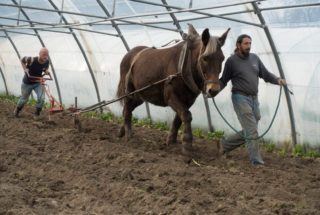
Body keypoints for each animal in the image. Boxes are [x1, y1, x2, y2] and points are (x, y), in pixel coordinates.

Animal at [117, 23, 230, 155]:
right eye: (205, 58)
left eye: (222, 58)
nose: (214, 90)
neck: (183, 66)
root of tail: (129, 54)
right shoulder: (171, 96)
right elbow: (186, 115)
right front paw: (187, 144)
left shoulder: (188, 100)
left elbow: (178, 119)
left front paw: (171, 141)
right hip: (129, 92)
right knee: (127, 110)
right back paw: (129, 136)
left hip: (139, 95)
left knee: (128, 109)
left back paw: (122, 131)